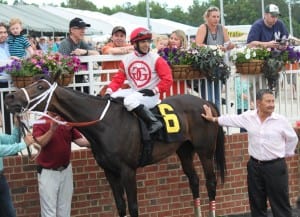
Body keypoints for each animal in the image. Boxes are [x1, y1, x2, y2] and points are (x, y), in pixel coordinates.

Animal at [4, 79, 225, 217]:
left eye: (40, 86)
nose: (10, 98)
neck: (105, 123)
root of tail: (205, 102)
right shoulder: (109, 171)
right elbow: (120, 205)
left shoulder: (128, 171)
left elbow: (133, 207)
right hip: (184, 150)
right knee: (194, 180)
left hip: (205, 151)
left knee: (210, 182)